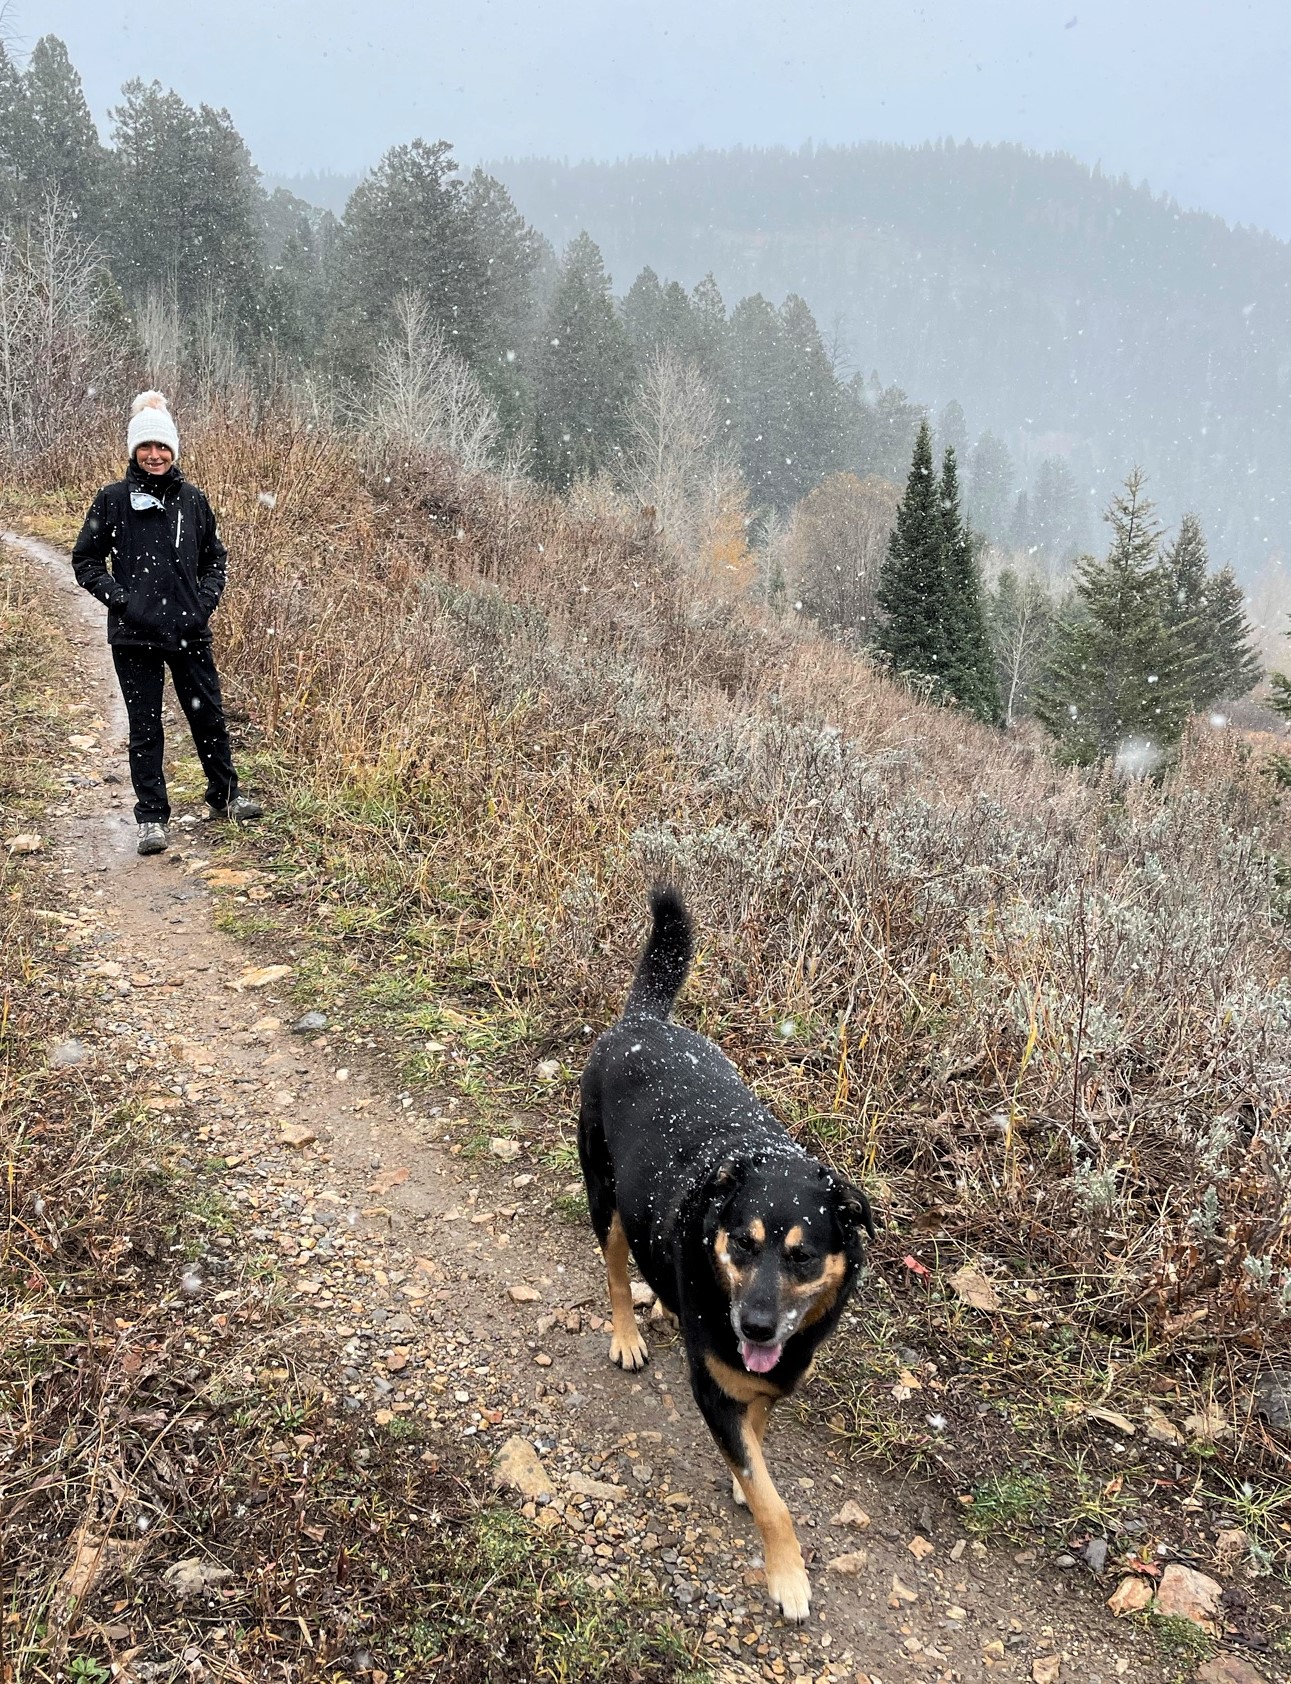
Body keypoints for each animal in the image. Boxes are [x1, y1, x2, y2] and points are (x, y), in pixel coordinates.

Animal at [579, 882, 875, 1616]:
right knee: (615, 1270)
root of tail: (641, 1020)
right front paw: (787, 1575)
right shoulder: (714, 1387)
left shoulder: (765, 1381)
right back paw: (627, 1331)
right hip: (606, 1199)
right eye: (743, 1243)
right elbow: (775, 1502)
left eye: (802, 1256)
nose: (757, 1326)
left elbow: (757, 1444)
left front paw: (746, 1478)